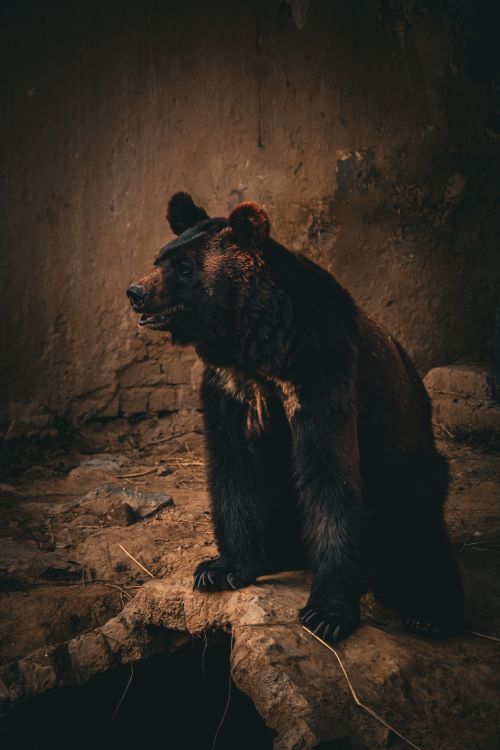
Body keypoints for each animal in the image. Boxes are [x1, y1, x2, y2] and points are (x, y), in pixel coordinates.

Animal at [127, 191, 464, 644]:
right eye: (160, 257)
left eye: (184, 268)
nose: (136, 292)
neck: (256, 345)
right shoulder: (231, 386)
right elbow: (234, 466)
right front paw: (220, 568)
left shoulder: (321, 374)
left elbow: (330, 475)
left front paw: (327, 612)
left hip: (410, 464)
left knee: (418, 532)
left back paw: (430, 612)